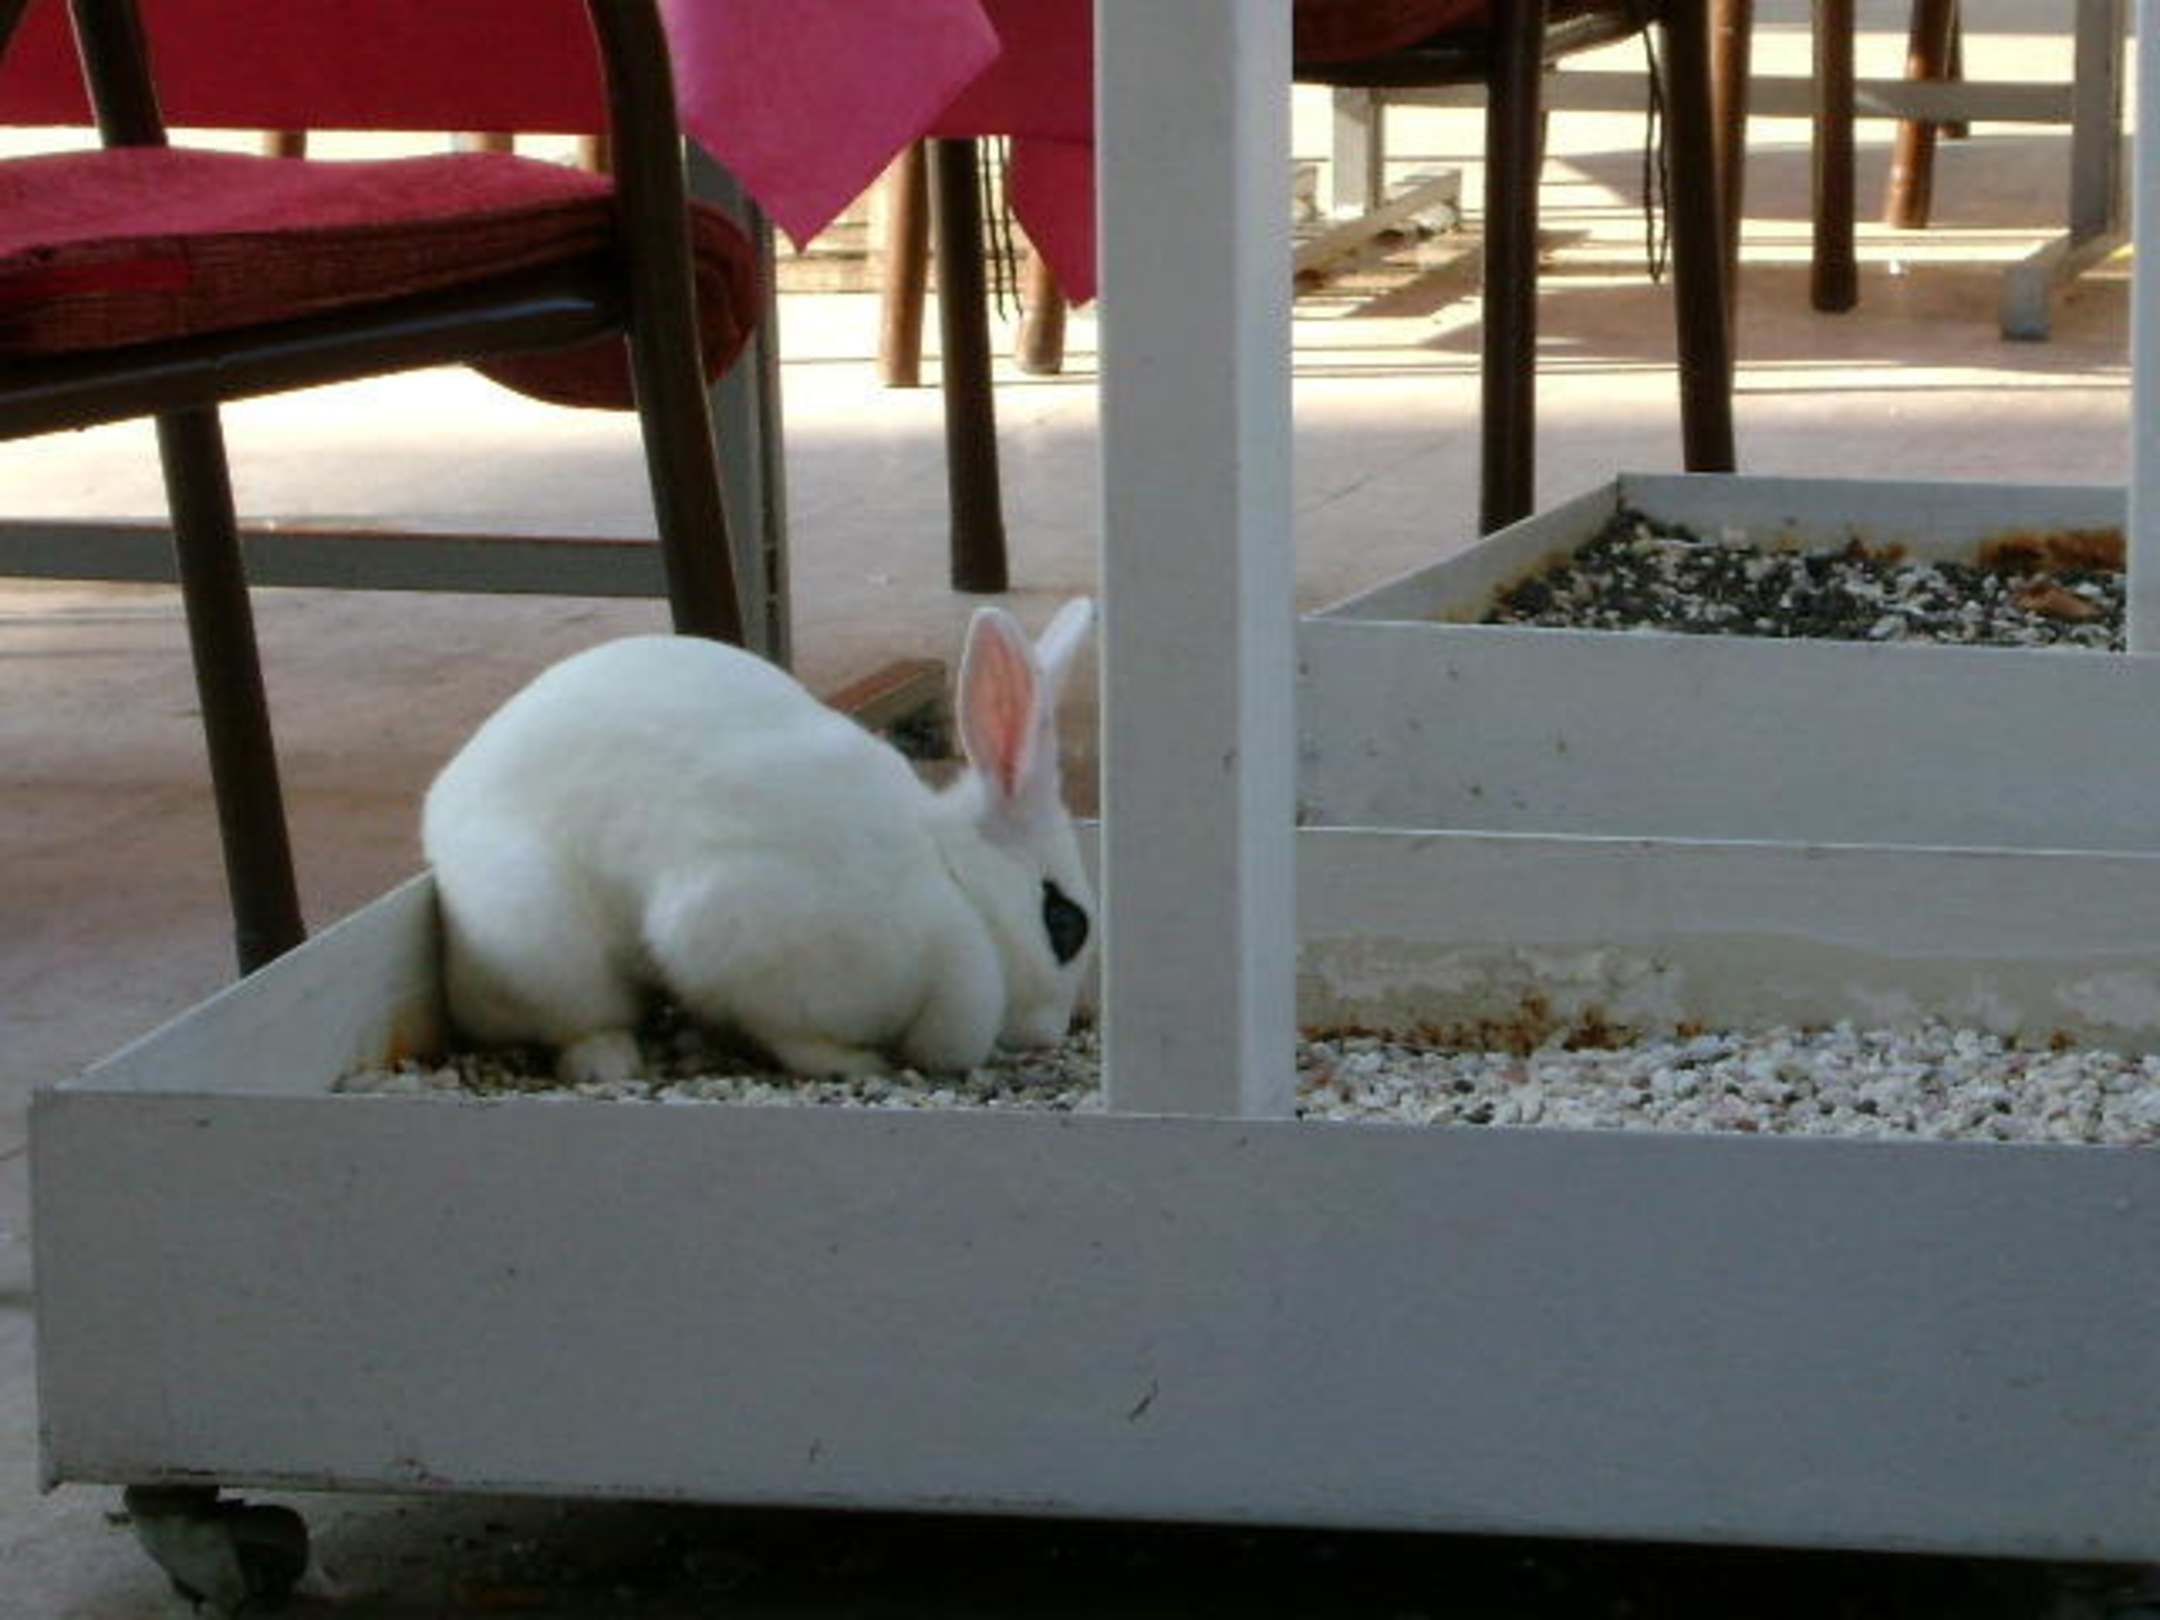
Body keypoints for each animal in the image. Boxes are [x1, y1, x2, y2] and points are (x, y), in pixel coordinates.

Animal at [421, 599, 1097, 1085]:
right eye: (1064, 923)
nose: (1052, 1032)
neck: (952, 883)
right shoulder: (738, 944)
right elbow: (789, 1036)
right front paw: (855, 1064)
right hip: (545, 944)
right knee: (575, 1025)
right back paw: (609, 1060)